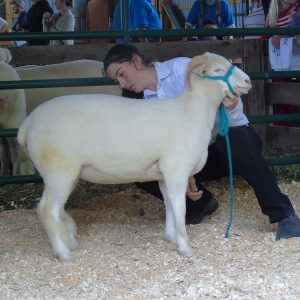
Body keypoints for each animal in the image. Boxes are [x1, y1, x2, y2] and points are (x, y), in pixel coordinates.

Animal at [17, 52, 251, 260]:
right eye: (218, 70)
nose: (248, 80)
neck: (193, 111)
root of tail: (28, 123)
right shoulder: (177, 169)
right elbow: (180, 208)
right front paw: (185, 248)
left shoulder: (163, 174)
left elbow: (169, 205)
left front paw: (171, 237)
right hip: (59, 170)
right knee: (47, 210)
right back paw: (64, 253)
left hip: (68, 174)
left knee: (56, 210)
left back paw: (69, 242)